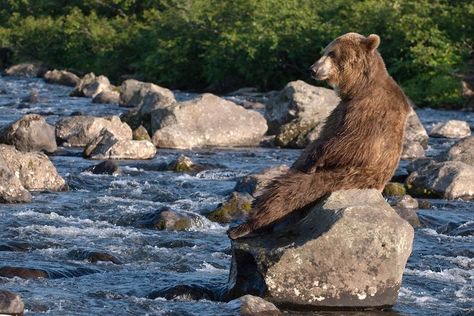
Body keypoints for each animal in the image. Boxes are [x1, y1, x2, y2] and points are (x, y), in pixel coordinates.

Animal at [229, 32, 412, 239]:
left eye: (332, 53)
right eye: (325, 51)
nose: (312, 69)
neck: (359, 88)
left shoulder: (369, 111)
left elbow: (352, 143)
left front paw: (315, 159)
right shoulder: (340, 110)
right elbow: (321, 138)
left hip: (345, 178)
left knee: (291, 191)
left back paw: (245, 226)